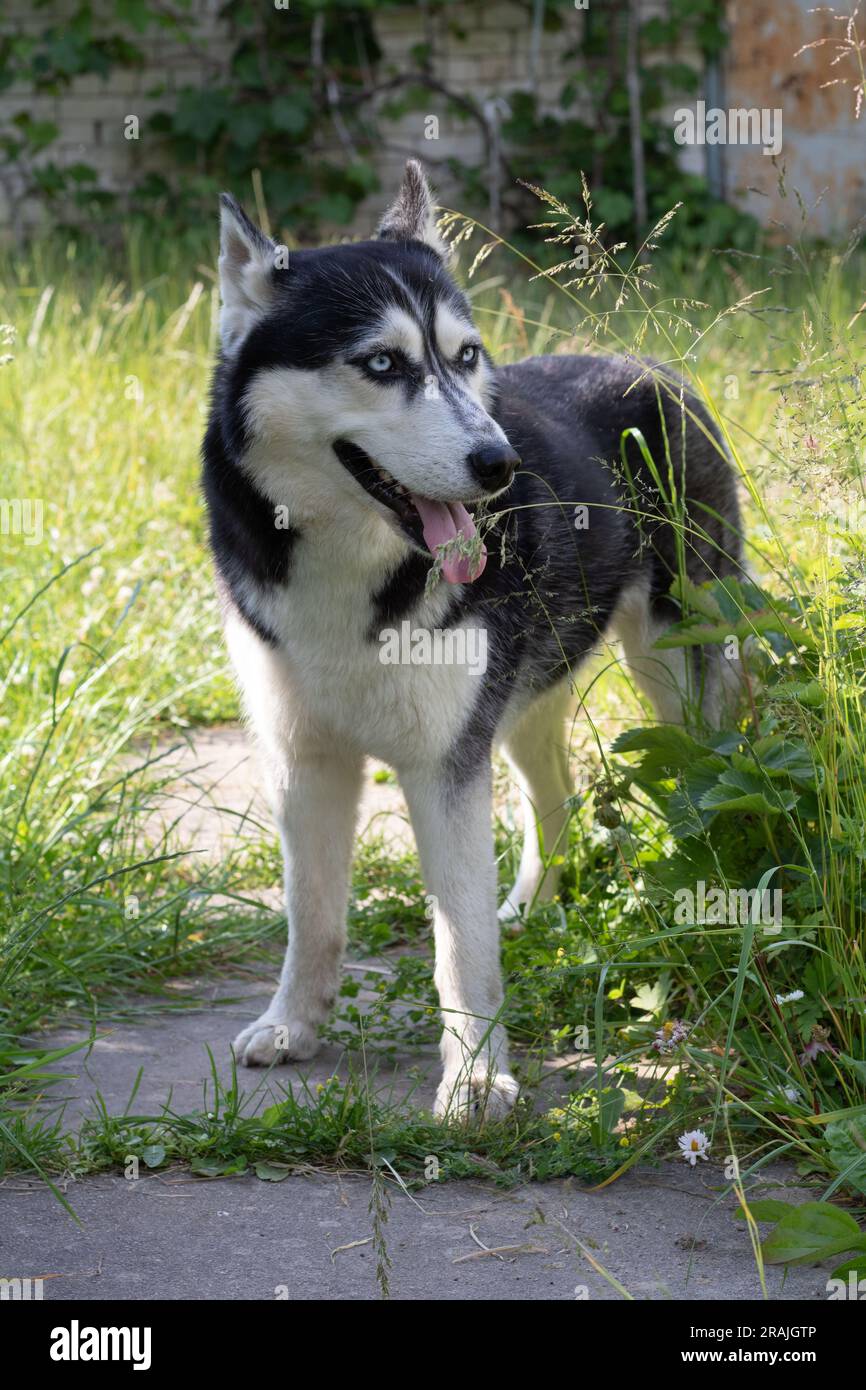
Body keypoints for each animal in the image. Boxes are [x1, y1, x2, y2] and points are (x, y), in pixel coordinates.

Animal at [204, 159, 745, 1117]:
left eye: (464, 356)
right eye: (382, 363)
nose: (499, 465)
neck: (356, 571)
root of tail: (648, 361)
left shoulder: (443, 764)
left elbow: (459, 946)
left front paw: (477, 1075)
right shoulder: (302, 761)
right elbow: (315, 915)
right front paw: (293, 1025)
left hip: (673, 669)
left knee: (701, 769)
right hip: (527, 699)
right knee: (557, 798)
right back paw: (532, 909)